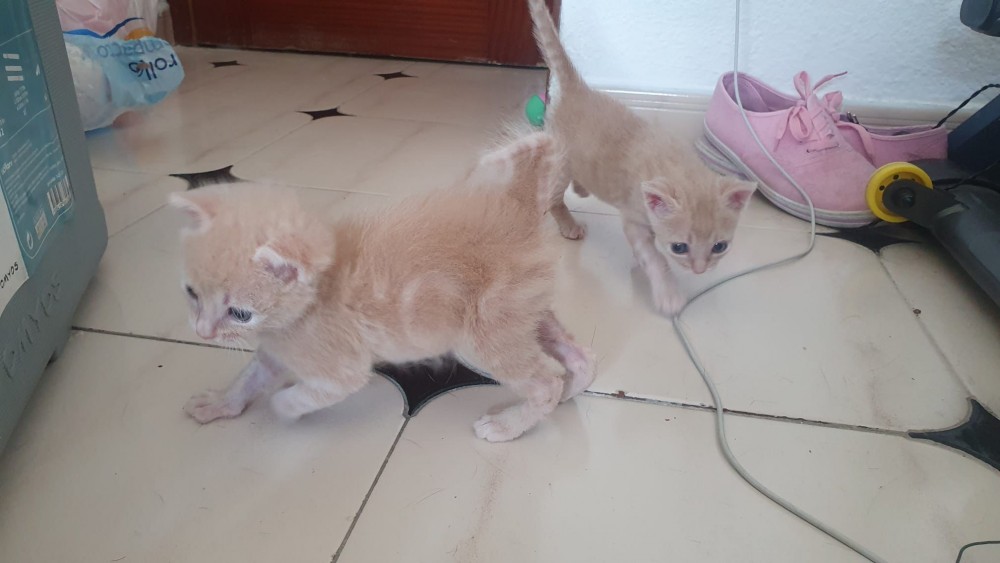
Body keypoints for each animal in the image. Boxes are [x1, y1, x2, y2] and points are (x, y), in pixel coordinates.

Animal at [170, 132, 596, 442]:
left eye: (239, 313)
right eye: (191, 294)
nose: (202, 333)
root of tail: (519, 207)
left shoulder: (341, 371)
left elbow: (297, 395)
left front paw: (283, 410)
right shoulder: (277, 349)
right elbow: (249, 378)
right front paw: (220, 403)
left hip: (483, 336)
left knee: (544, 382)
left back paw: (507, 426)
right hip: (522, 314)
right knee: (578, 354)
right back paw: (572, 388)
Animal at [528, 0, 757, 315]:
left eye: (719, 246)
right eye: (679, 247)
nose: (700, 270)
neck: (677, 167)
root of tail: (579, 90)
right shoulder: (634, 219)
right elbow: (654, 257)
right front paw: (667, 292)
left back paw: (582, 188)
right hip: (561, 161)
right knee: (553, 198)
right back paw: (569, 224)